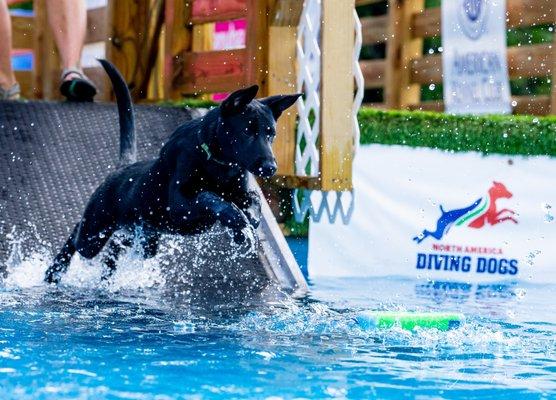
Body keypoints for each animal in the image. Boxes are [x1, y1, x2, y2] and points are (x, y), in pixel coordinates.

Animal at [44, 60, 300, 284]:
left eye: (271, 134)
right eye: (247, 132)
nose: (270, 167)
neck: (218, 163)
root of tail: (122, 167)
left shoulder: (242, 190)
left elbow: (253, 202)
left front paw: (248, 224)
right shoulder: (178, 204)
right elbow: (210, 197)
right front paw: (237, 220)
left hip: (139, 237)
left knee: (113, 251)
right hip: (94, 232)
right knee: (76, 236)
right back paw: (53, 273)